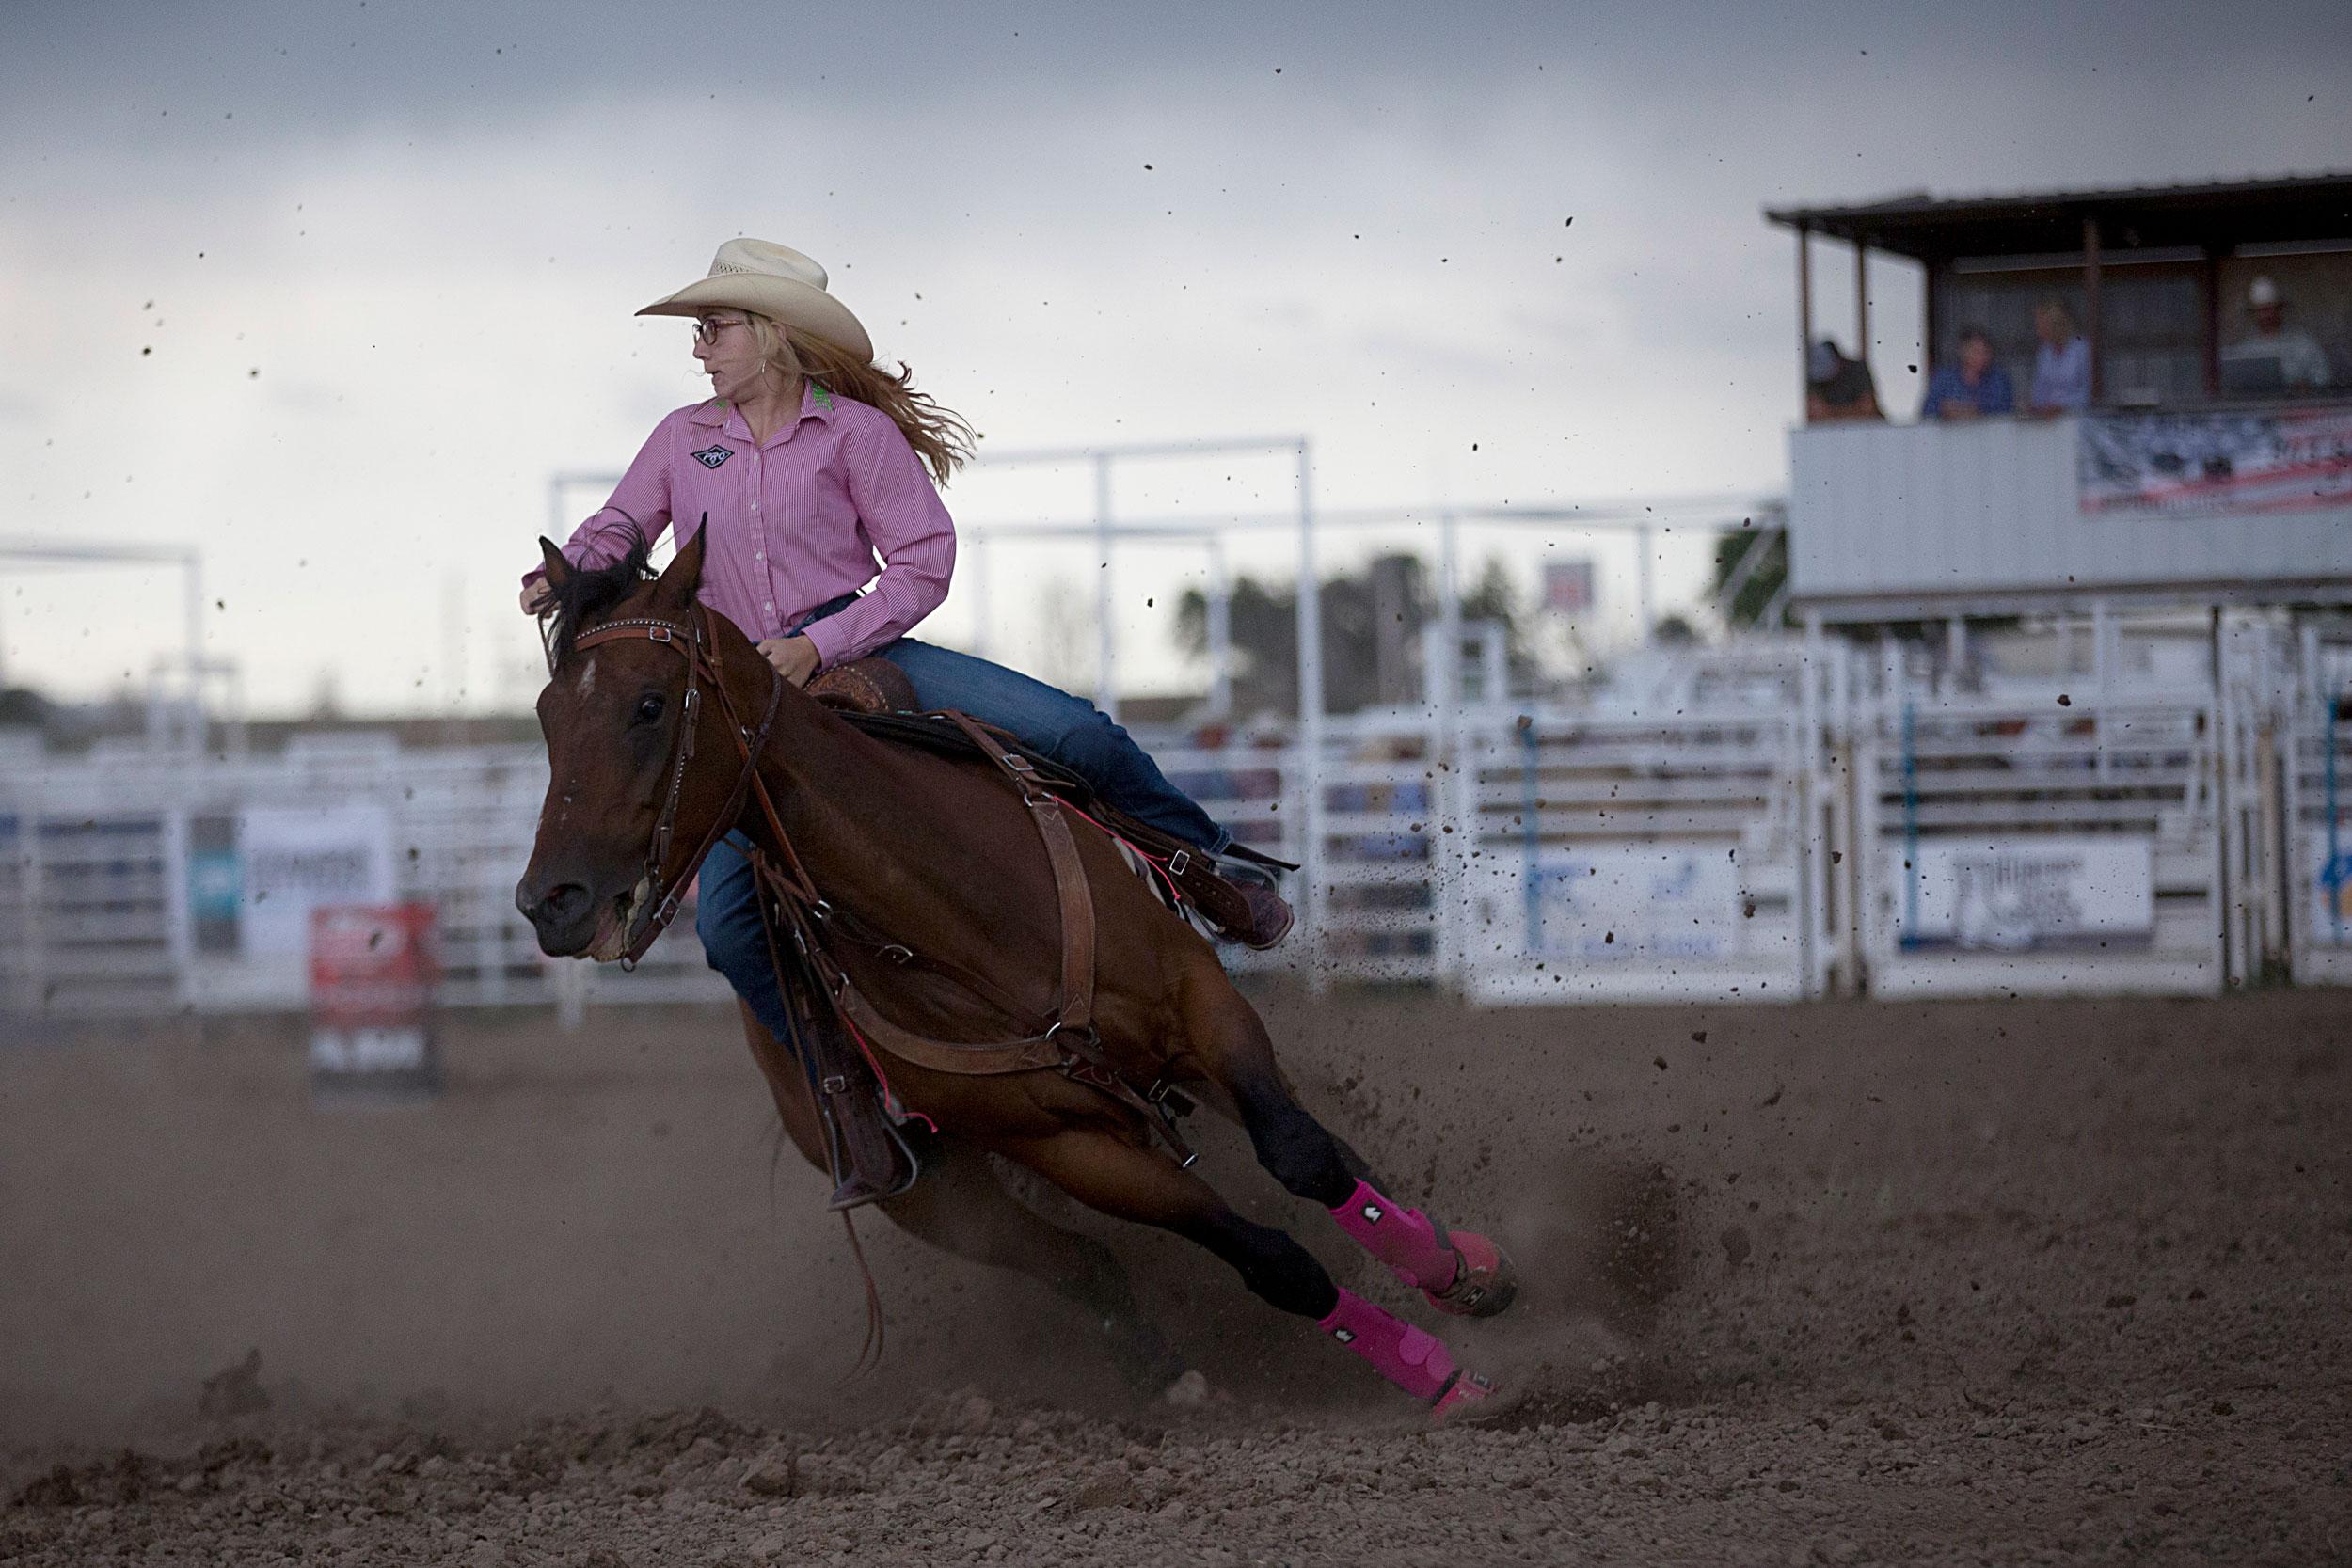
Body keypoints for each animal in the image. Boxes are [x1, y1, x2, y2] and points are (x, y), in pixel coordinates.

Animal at [510, 531, 1524, 1419]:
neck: (964, 908)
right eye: (549, 717)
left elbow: (1302, 1152)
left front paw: (1458, 1275)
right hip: (936, 1195)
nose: (548, 901)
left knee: (1313, 1148)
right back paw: (1166, 1376)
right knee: (1080, 1264)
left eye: (649, 704)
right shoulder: (1067, 1143)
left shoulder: (1202, 1005)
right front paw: (1438, 1376)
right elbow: (1272, 1259)